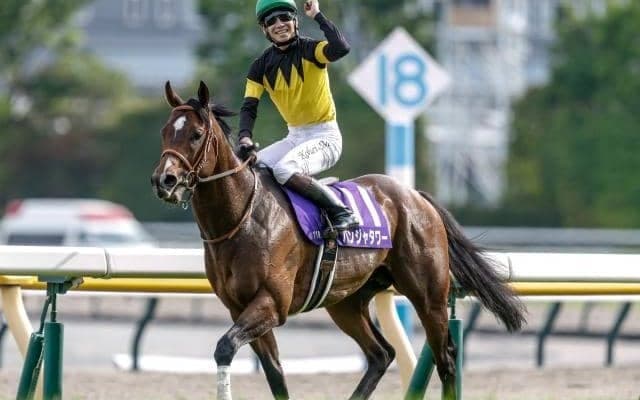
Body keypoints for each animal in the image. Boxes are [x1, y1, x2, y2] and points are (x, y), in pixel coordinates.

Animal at [150, 81, 526, 400]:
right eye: (165, 131)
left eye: (196, 134)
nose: (164, 180)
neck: (241, 218)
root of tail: (415, 196)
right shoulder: (238, 307)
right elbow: (275, 374)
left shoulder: (271, 303)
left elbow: (225, 347)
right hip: (346, 302)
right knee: (381, 354)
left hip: (428, 296)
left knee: (445, 358)